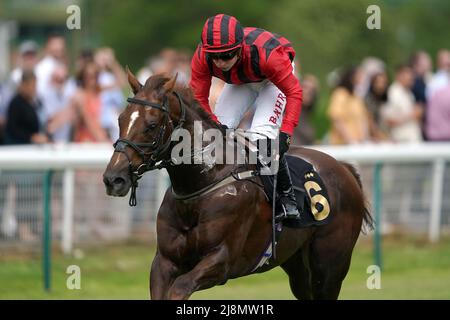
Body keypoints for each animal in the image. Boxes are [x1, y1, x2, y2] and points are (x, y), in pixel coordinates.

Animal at [103, 70, 372, 300]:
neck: (203, 183)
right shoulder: (165, 261)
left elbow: (179, 289)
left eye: (151, 126)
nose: (113, 178)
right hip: (297, 265)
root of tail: (344, 168)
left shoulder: (221, 260)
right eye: (120, 119)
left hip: (329, 266)